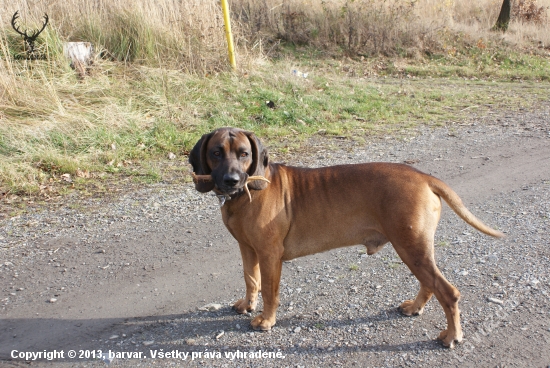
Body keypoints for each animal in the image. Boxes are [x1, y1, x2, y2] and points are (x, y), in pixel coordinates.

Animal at [190, 126, 504, 348]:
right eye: (216, 152)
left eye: (244, 153)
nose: (231, 180)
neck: (247, 193)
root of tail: (424, 176)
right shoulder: (247, 248)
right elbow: (250, 280)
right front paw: (247, 305)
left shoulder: (269, 255)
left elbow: (269, 290)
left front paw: (267, 320)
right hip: (415, 248)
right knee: (430, 284)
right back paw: (415, 307)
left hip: (410, 247)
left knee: (447, 292)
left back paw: (452, 335)